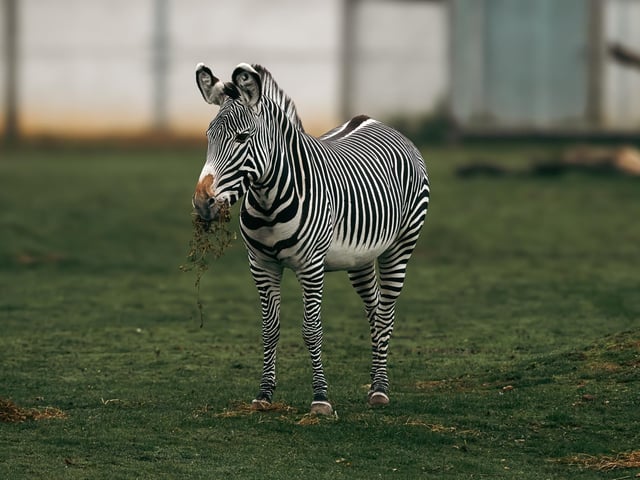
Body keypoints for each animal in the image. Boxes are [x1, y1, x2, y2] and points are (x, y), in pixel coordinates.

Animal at [192, 63, 430, 415]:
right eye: (209, 137)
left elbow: (311, 329)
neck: (268, 200)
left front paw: (320, 398)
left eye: (242, 138)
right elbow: (270, 329)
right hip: (359, 258)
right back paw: (374, 381)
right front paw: (264, 394)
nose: (202, 203)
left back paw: (380, 390)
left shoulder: (311, 266)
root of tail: (374, 120)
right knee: (374, 310)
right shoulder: (261, 265)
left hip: (401, 245)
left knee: (386, 313)